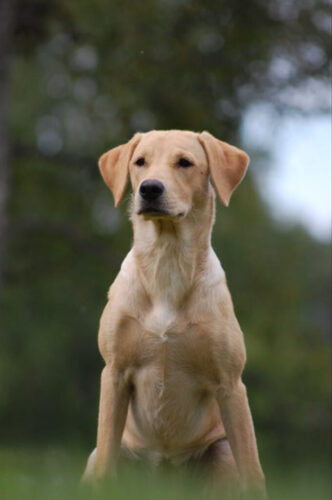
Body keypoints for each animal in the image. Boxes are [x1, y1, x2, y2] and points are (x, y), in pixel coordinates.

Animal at [83, 129, 268, 496]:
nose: (150, 189)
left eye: (185, 162)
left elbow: (252, 468)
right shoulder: (114, 372)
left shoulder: (230, 382)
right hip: (104, 453)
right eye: (140, 162)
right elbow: (105, 459)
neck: (166, 264)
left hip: (221, 450)